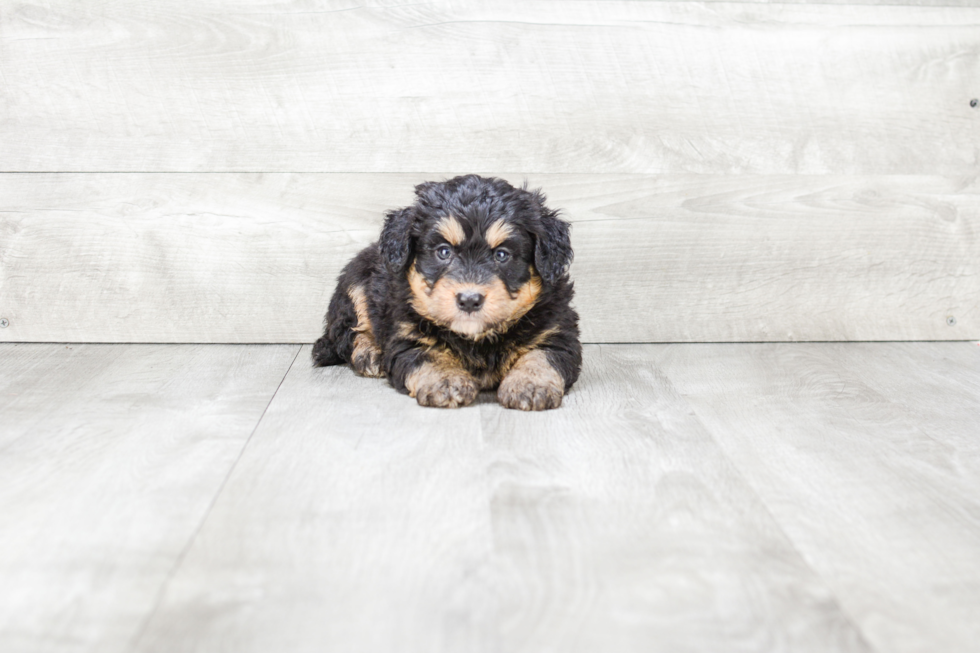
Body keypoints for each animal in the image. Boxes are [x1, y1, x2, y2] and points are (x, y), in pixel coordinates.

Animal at [310, 173, 580, 408]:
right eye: (443, 251)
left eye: (502, 255)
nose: (469, 300)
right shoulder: (407, 334)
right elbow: (429, 355)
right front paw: (446, 381)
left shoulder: (557, 332)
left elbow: (541, 356)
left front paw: (530, 385)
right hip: (355, 283)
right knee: (348, 334)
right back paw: (370, 354)